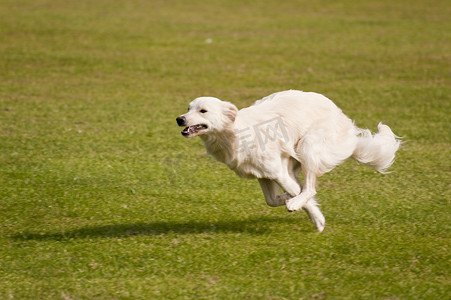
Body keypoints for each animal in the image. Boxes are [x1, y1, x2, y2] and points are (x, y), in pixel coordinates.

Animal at [177, 89, 402, 232]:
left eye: (203, 111)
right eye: (188, 108)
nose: (179, 119)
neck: (234, 133)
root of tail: (341, 116)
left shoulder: (278, 172)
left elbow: (303, 196)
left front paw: (316, 219)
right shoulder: (263, 175)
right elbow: (271, 201)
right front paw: (286, 198)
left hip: (308, 146)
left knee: (310, 188)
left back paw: (297, 202)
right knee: (302, 187)